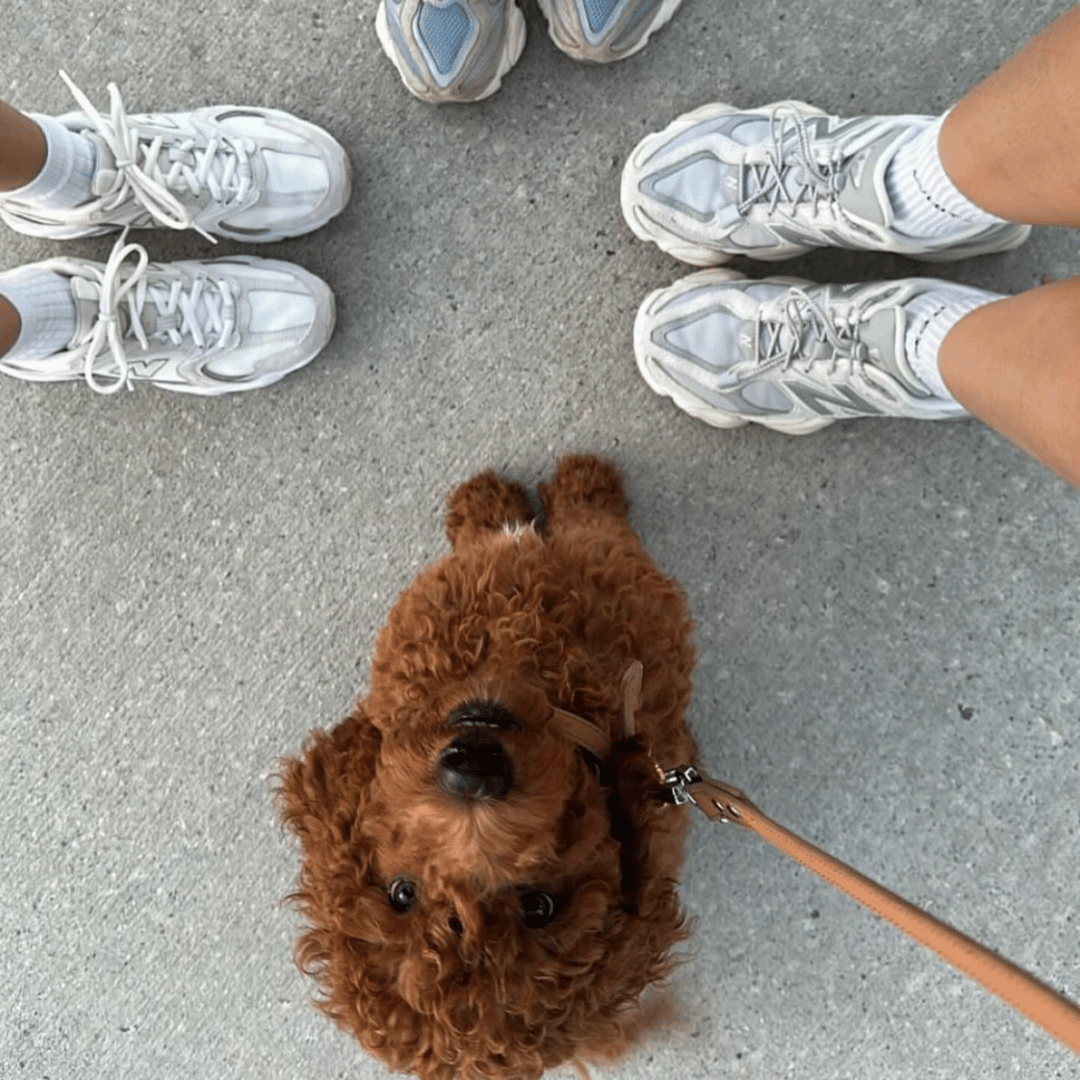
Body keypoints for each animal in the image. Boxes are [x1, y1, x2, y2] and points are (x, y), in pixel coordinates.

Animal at [278, 455, 695, 1080]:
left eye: (539, 907)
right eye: (403, 894)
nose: (474, 770)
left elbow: (574, 522)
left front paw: (567, 484)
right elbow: (539, 526)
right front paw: (508, 498)